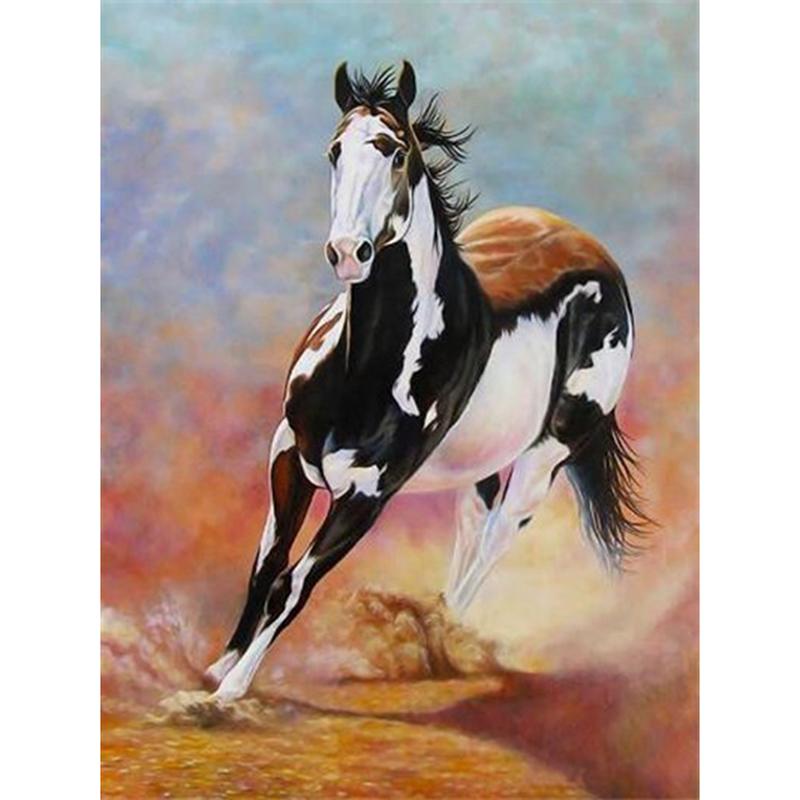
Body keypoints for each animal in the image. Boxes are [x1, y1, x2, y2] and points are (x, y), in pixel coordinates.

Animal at [205, 61, 648, 701]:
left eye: (393, 151)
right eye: (334, 151)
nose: (348, 253)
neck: (362, 372)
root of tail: (599, 257)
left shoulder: (366, 497)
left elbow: (293, 584)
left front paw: (230, 690)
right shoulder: (287, 453)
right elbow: (267, 563)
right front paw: (218, 665)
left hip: (546, 456)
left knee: (496, 538)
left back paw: (447, 641)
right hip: (482, 458)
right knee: (472, 525)